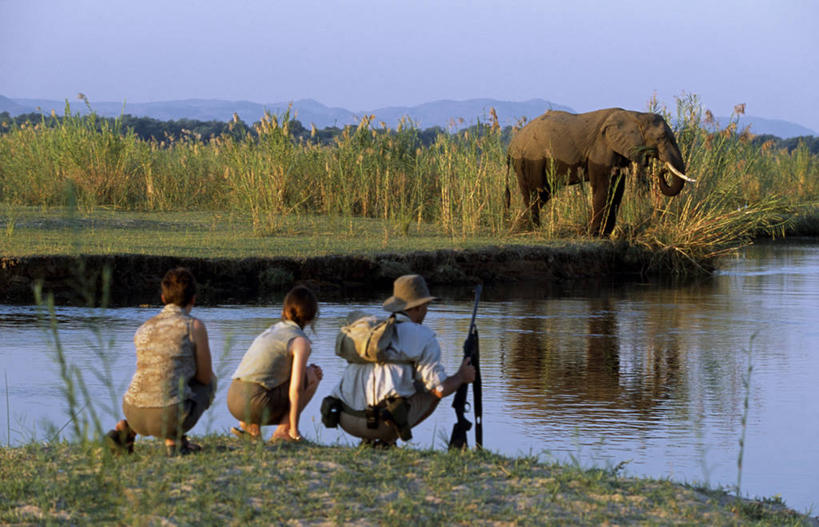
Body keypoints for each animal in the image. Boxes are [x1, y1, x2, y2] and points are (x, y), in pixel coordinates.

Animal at [510, 108, 696, 236]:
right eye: (661, 138)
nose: (663, 170)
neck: (635, 115)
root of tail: (513, 143)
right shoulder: (601, 149)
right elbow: (603, 188)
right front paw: (594, 234)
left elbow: (617, 189)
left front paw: (604, 235)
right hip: (529, 160)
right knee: (536, 192)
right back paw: (531, 229)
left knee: (541, 194)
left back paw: (522, 228)